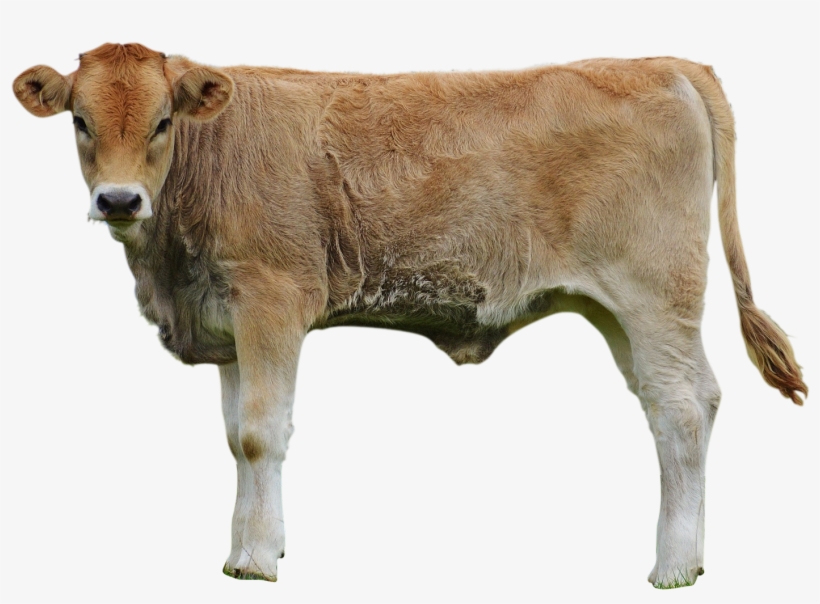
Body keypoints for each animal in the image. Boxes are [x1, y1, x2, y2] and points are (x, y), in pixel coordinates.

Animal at [12, 43, 806, 588]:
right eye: (79, 121)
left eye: (162, 121)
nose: (119, 200)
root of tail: (664, 63)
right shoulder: (227, 320)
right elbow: (236, 438)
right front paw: (244, 548)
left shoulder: (272, 298)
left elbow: (264, 434)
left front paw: (259, 560)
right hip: (617, 309)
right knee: (682, 401)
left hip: (653, 293)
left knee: (681, 409)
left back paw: (673, 567)